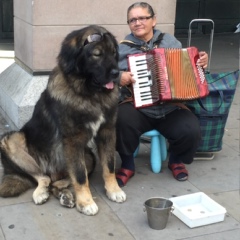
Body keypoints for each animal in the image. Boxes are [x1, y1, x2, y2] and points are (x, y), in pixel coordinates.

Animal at [0, 24, 126, 216]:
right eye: (97, 54)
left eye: (113, 53)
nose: (116, 73)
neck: (90, 95)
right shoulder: (73, 141)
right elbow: (80, 176)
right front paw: (86, 202)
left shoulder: (107, 131)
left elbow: (109, 165)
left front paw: (114, 190)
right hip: (10, 140)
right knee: (43, 177)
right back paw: (40, 193)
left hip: (89, 156)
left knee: (56, 183)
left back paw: (65, 196)